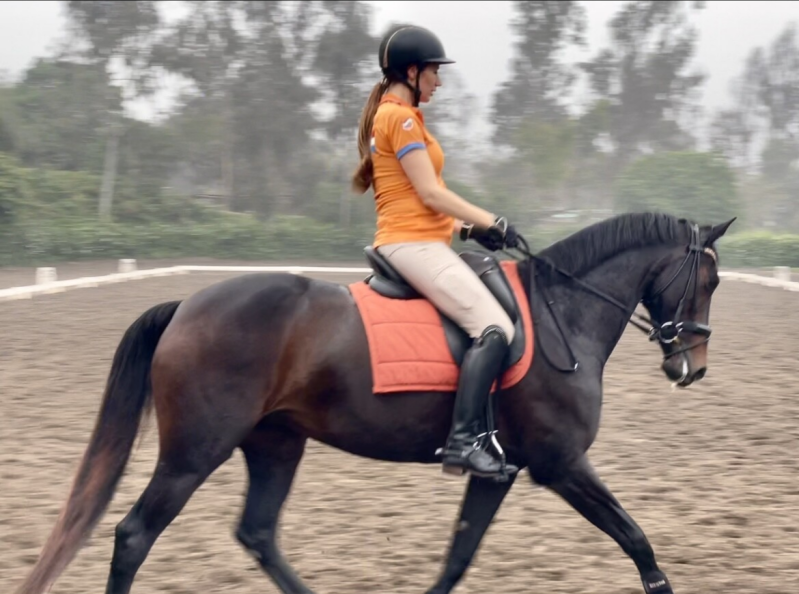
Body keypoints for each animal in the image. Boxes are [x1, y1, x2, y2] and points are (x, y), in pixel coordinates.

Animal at [13, 211, 735, 594]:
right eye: (709, 279)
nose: (691, 366)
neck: (564, 314)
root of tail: (187, 305)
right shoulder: (561, 465)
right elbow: (635, 537)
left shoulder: (498, 472)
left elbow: (458, 557)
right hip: (196, 450)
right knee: (136, 533)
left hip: (275, 442)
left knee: (257, 532)